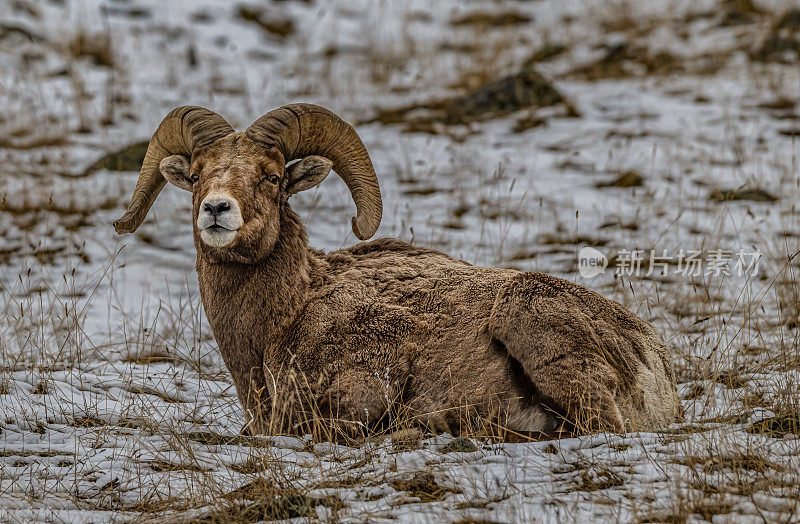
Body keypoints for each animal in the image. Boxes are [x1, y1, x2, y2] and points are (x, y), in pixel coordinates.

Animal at [114, 104, 680, 436]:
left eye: (272, 177)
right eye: (195, 176)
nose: (217, 209)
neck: (285, 318)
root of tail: (651, 358)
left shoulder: (360, 393)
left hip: (532, 324)